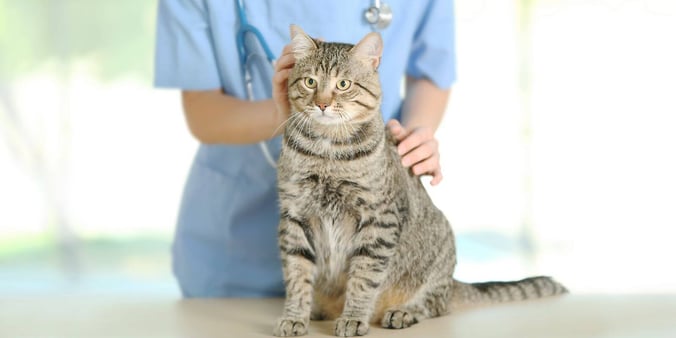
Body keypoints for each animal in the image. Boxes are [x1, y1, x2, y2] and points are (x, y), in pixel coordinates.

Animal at [272, 25, 568, 336]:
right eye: (310, 82)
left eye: (343, 84)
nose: (322, 103)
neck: (327, 152)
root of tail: (453, 283)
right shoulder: (294, 216)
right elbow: (297, 275)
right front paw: (295, 316)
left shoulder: (378, 219)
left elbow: (364, 278)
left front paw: (353, 317)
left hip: (440, 249)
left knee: (434, 304)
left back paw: (403, 311)